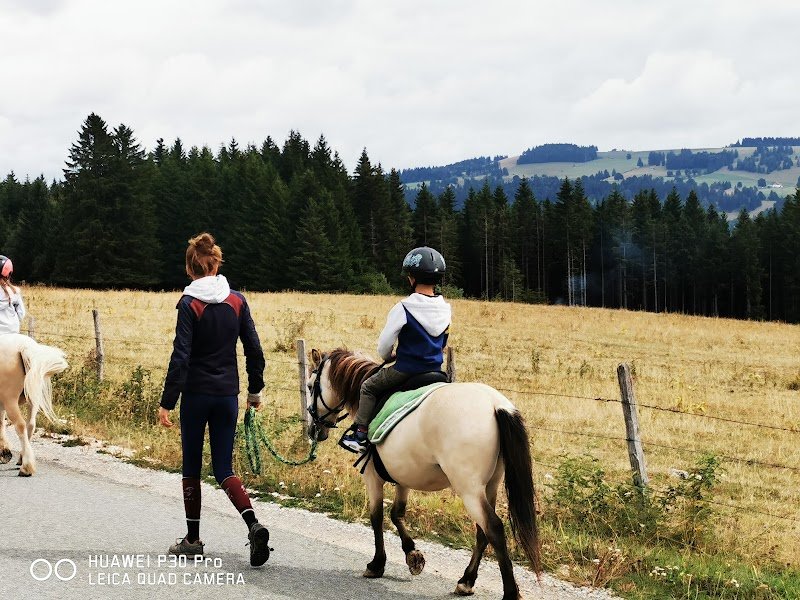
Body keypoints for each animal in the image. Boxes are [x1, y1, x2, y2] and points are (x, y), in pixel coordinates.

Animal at [0, 334, 68, 476]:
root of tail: (24, 346)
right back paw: (21, 459)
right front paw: (4, 452)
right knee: (30, 424)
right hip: (33, 399)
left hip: (10, 400)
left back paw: (26, 467)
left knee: (20, 425)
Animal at [305, 348, 540, 600]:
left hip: (469, 489)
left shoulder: (372, 476)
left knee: (494, 528)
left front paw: (377, 564)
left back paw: (508, 592)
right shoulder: (403, 474)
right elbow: (396, 514)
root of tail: (495, 404)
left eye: (310, 386)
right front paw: (412, 555)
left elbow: (376, 517)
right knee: (483, 530)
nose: (313, 430)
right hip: (490, 485)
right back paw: (466, 581)